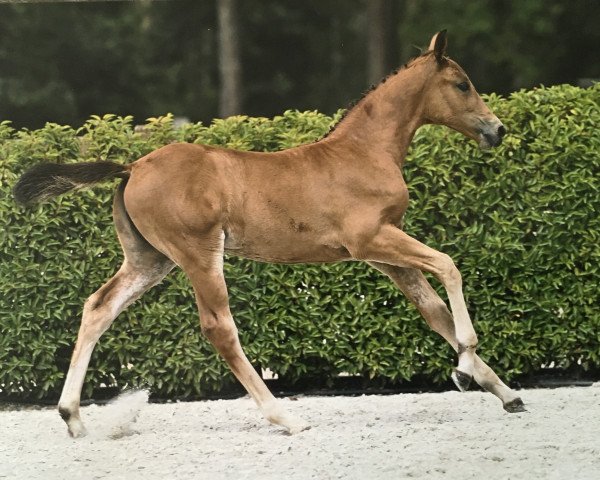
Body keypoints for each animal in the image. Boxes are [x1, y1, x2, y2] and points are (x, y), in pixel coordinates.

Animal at [14, 29, 524, 436]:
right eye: (462, 84)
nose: (497, 130)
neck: (363, 152)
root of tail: (133, 165)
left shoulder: (383, 256)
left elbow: (434, 312)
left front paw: (504, 392)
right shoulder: (372, 240)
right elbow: (449, 267)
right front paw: (464, 368)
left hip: (149, 259)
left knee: (99, 308)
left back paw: (73, 417)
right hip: (198, 252)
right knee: (219, 328)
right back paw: (286, 417)